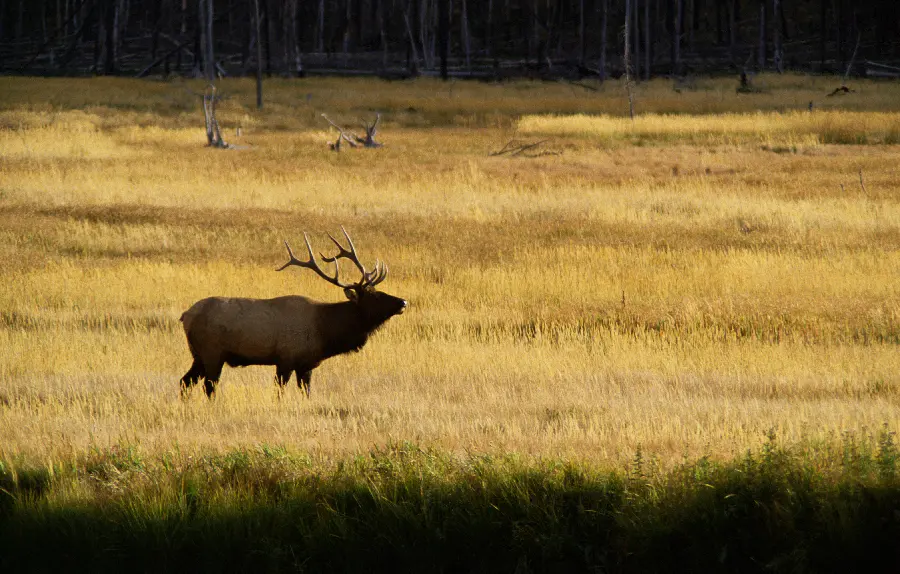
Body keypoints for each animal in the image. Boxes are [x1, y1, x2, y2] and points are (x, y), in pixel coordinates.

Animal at [181, 228, 406, 400]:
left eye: (378, 291)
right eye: (374, 296)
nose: (403, 302)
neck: (325, 331)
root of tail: (185, 316)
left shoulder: (306, 365)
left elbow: (306, 393)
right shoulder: (286, 359)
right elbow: (279, 393)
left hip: (198, 354)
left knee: (185, 381)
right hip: (212, 352)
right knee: (209, 386)